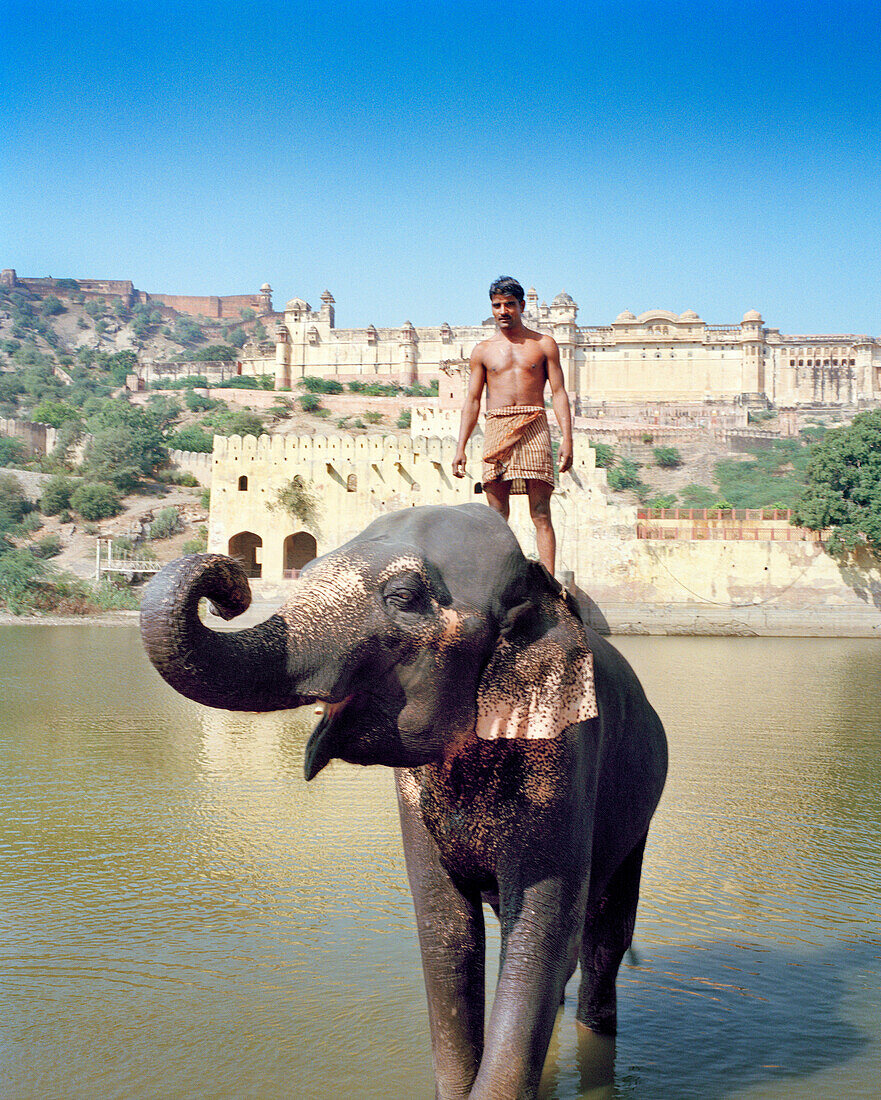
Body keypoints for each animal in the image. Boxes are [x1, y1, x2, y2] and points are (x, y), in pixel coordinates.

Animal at [140, 503, 668, 1095]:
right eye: (310, 566)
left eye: (403, 598)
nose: (233, 585)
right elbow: (447, 933)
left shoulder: (565, 752)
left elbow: (540, 934)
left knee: (604, 938)